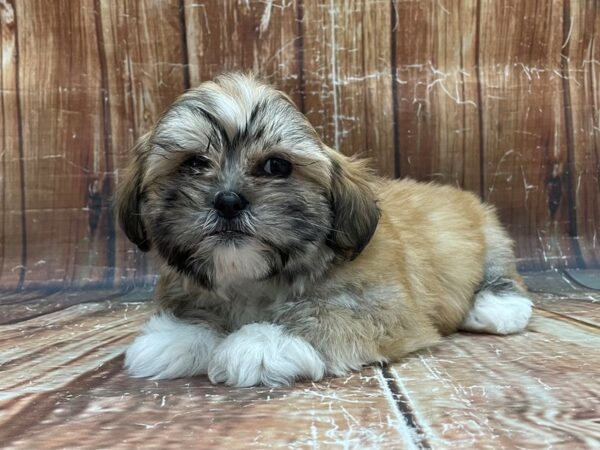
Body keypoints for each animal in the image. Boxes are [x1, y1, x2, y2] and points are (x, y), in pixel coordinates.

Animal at [115, 73, 532, 386]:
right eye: (194, 163)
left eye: (276, 166)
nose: (228, 201)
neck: (258, 279)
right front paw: (179, 335)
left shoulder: (386, 308)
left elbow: (326, 315)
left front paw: (263, 342)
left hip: (492, 237)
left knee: (503, 276)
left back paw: (497, 307)